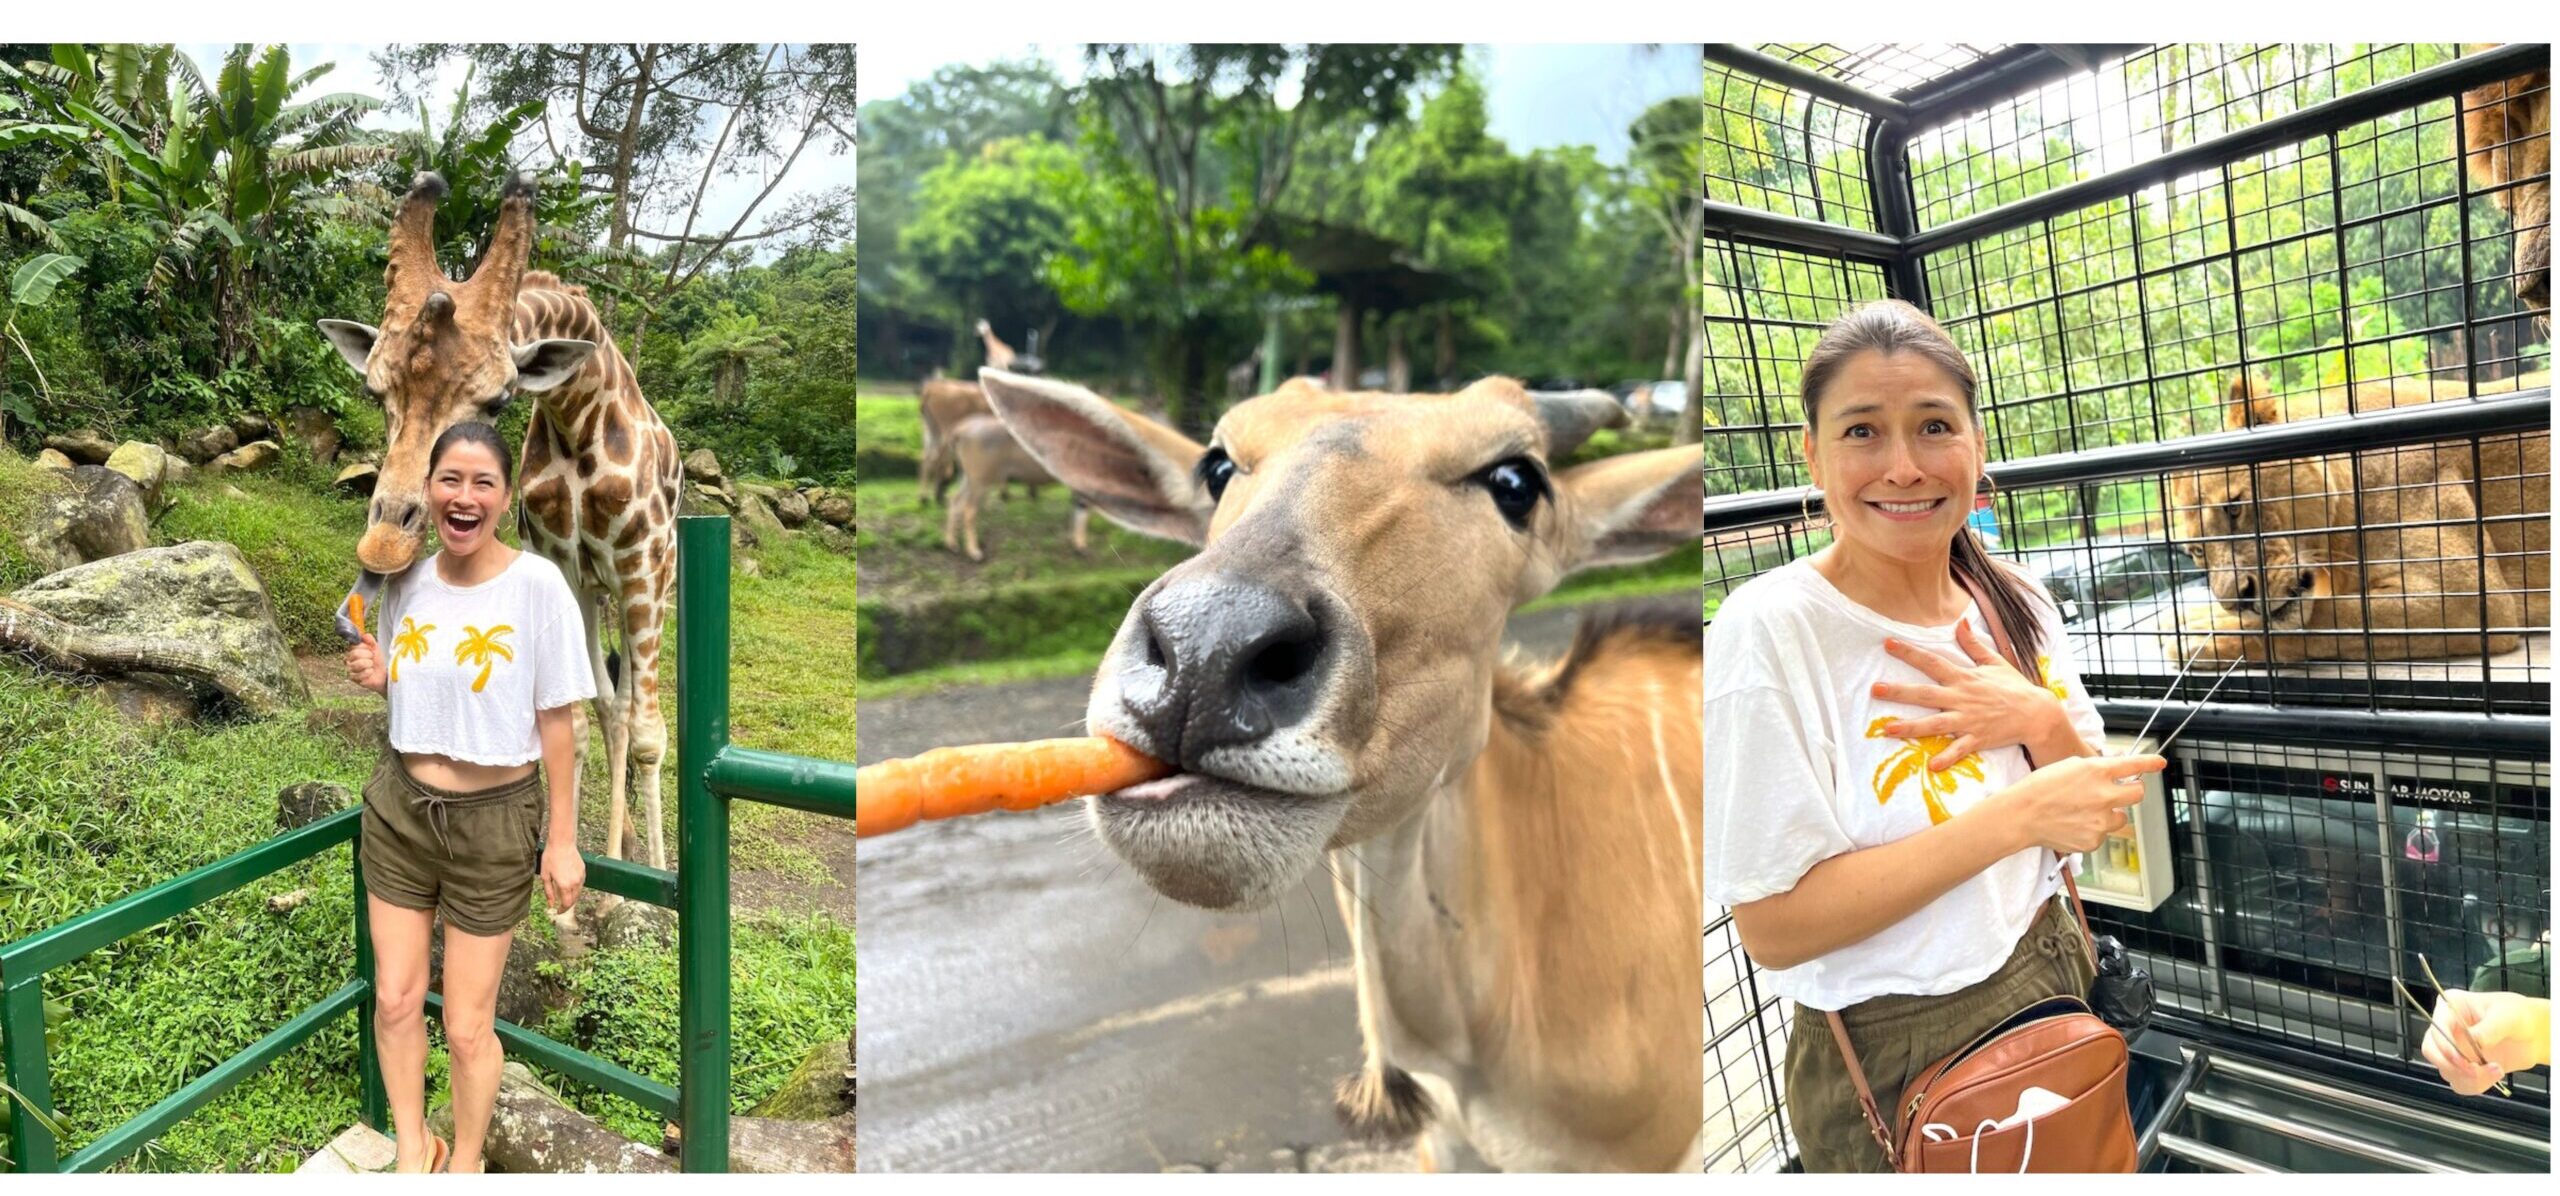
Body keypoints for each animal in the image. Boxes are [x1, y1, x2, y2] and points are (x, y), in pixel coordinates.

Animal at [317, 172, 680, 875]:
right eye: (377, 391)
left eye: (499, 400)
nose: (384, 545)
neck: (578, 418)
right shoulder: (565, 568)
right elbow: (582, 720)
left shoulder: (643, 565)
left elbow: (651, 734)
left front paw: (652, 878)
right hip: (597, 590)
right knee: (611, 703)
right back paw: (617, 848)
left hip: (651, 579)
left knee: (636, 711)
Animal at [2170, 373, 2549, 665]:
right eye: (2198, 552)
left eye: (2234, 507)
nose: (2235, 602)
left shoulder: (2471, 598)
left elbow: (2331, 617)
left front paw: (2201, 635)